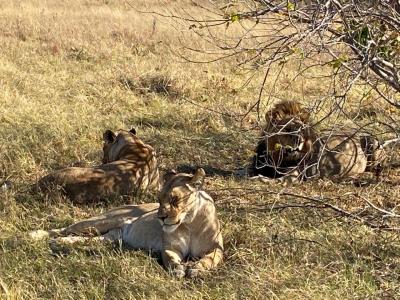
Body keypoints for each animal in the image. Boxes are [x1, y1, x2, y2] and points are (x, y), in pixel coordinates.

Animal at [30, 169, 223, 278]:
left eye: (175, 199)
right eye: (160, 199)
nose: (160, 217)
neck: (189, 223)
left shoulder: (216, 248)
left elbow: (210, 259)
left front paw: (197, 269)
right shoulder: (170, 248)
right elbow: (171, 259)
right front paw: (178, 270)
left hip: (109, 238)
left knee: (82, 240)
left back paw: (58, 243)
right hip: (102, 221)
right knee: (64, 229)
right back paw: (36, 235)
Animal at [248, 101, 386, 182]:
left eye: (302, 130)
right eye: (287, 129)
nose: (299, 140)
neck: (278, 158)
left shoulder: (297, 173)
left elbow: (278, 180)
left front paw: (260, 179)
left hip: (372, 143)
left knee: (376, 170)